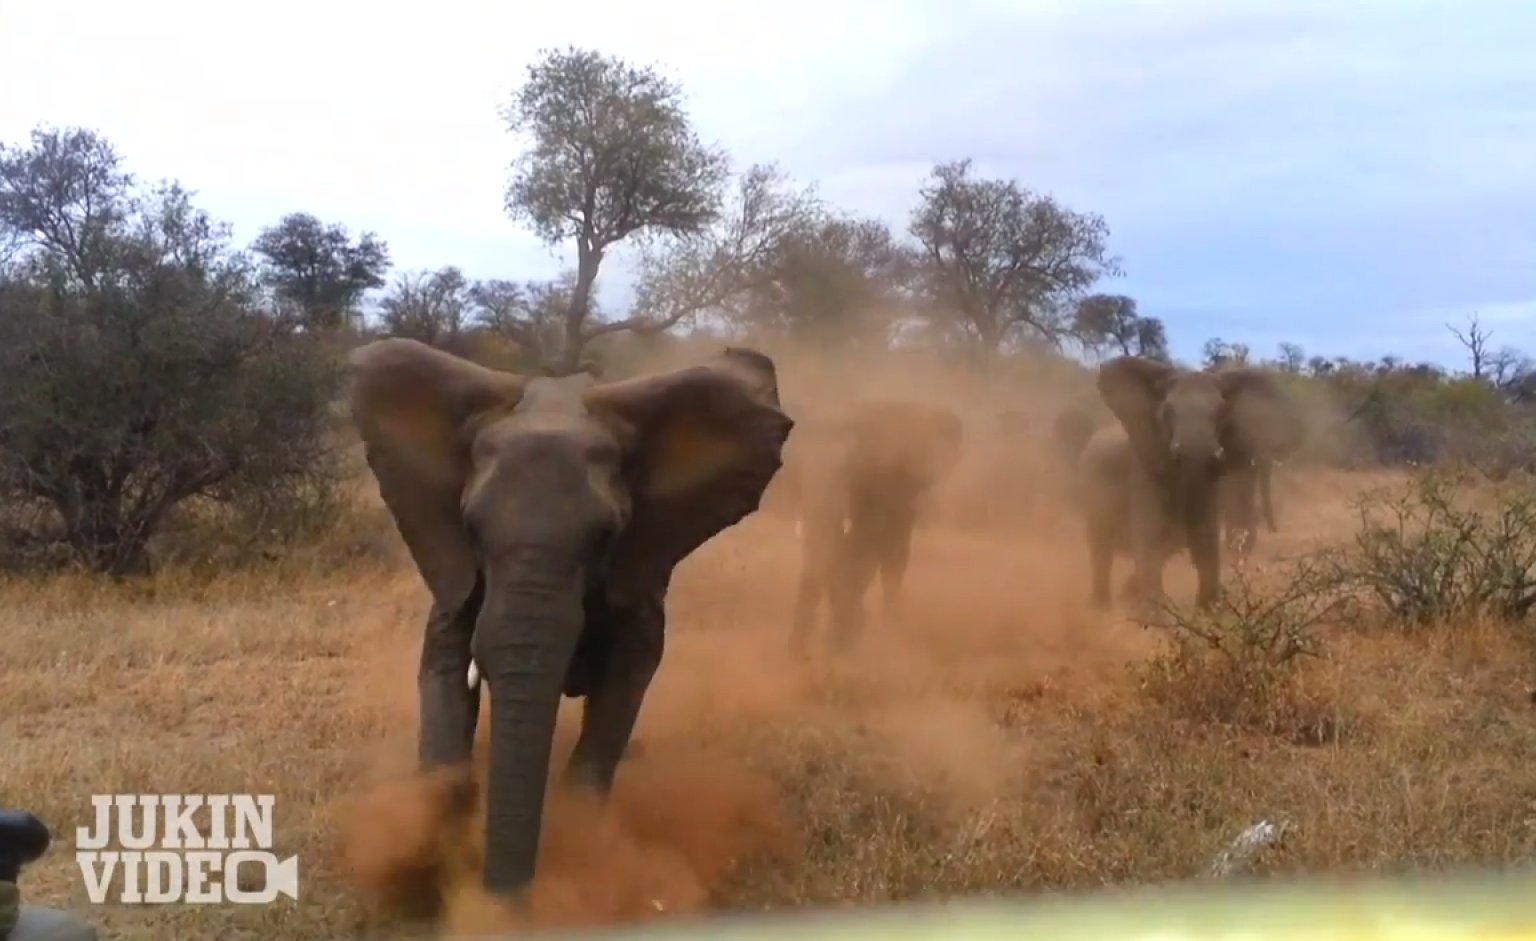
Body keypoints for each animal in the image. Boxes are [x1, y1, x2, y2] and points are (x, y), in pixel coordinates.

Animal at [347, 340, 792, 896]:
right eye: (471, 528)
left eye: (606, 535)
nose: (506, 903)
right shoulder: (454, 566)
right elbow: (444, 665)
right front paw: (426, 850)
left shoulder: (638, 568)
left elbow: (626, 679)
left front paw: (580, 840)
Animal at [786, 399, 964, 653]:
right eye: (797, 467)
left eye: (851, 466)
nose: (798, 655)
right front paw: (841, 636)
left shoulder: (877, 486)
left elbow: (861, 550)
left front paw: (841, 640)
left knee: (893, 559)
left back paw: (889, 630)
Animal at [1056, 354, 1308, 607]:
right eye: (1167, 412)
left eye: (1220, 412)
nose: (1274, 530)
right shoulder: (1143, 470)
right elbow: (1150, 545)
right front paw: (1156, 613)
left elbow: (1206, 544)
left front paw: (1209, 609)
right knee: (1102, 553)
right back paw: (1102, 607)